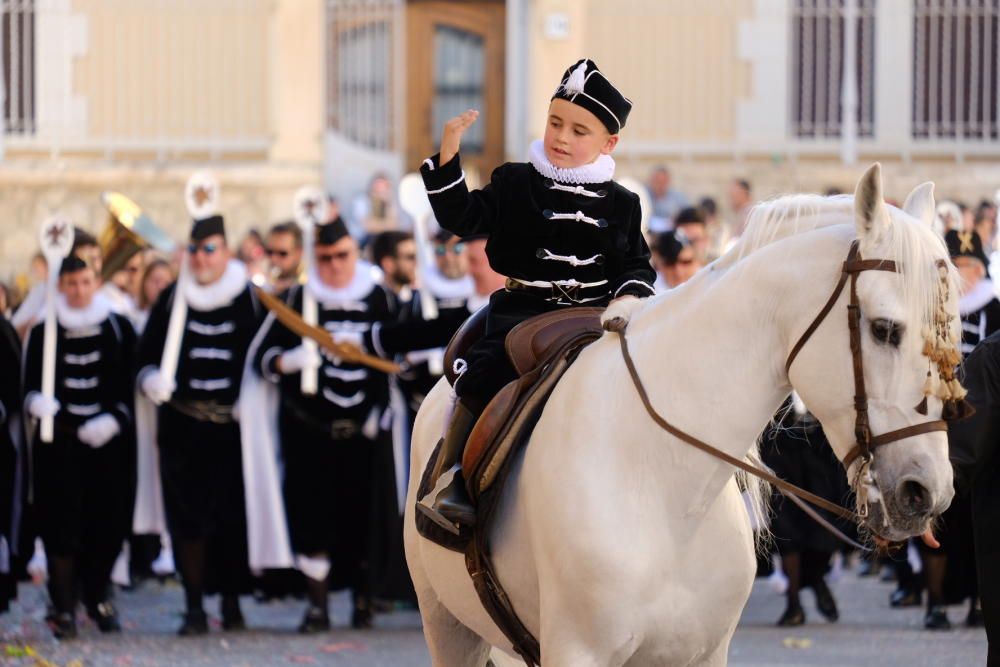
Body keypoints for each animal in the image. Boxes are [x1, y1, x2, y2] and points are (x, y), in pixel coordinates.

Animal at [404, 164, 960, 664]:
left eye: (952, 339)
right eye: (885, 329)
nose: (927, 491)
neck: (665, 481)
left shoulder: (703, 652)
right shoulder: (575, 650)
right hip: (447, 625)